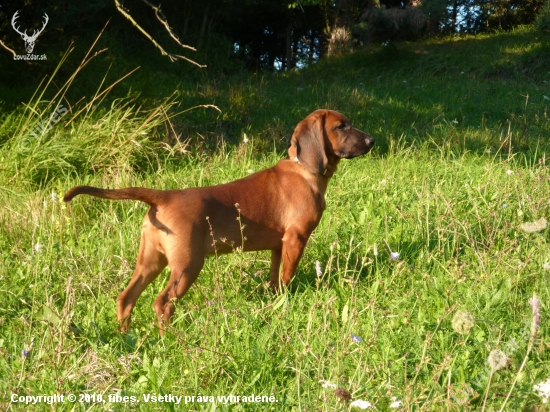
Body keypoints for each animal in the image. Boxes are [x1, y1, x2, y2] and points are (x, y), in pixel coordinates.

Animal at [64, 110, 376, 334]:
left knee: (126, 298)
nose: (372, 142)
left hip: (151, 260)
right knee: (162, 303)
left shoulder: (279, 246)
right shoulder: (295, 240)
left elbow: (275, 279)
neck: (304, 170)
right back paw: (169, 340)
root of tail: (163, 197)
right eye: (341, 126)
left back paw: (126, 335)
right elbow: (287, 279)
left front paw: (275, 302)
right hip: (188, 265)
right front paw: (287, 303)